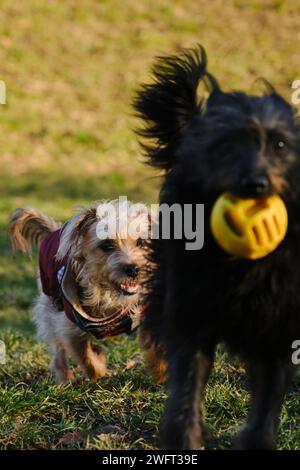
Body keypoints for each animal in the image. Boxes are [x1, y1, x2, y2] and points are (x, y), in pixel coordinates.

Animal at [9, 200, 150, 384]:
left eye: (142, 242)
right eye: (106, 245)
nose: (133, 269)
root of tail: (54, 231)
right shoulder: (68, 326)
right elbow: (86, 358)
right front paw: (100, 371)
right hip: (49, 309)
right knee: (58, 352)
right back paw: (64, 380)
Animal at [135, 45, 300, 452]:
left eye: (280, 144)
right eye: (226, 145)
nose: (256, 185)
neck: (244, 266)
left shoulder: (280, 324)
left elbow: (268, 399)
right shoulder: (194, 307)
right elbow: (187, 385)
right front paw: (185, 438)